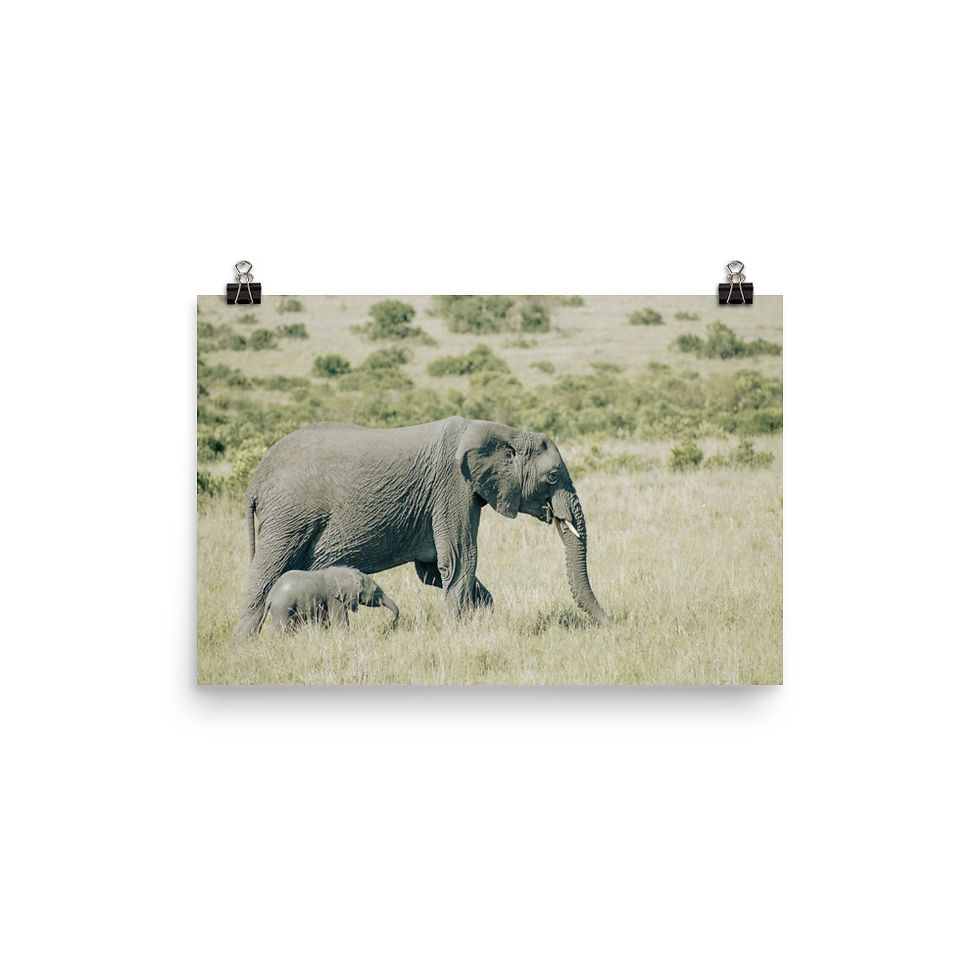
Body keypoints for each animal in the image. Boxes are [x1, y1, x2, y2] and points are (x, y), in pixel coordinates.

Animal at [258, 566, 399, 633]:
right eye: (375, 591)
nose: (392, 621)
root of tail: (270, 596)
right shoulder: (335, 598)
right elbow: (339, 620)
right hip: (282, 606)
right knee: (279, 626)